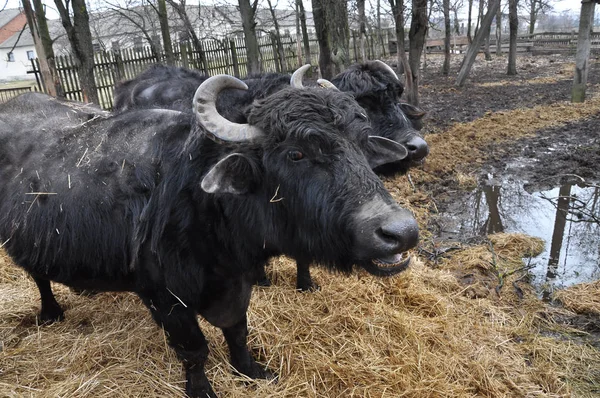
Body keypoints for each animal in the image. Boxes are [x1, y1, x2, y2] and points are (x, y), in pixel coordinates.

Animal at [0, 76, 420, 396]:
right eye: (296, 154)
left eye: (362, 142)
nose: (401, 232)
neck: (204, 206)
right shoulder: (166, 297)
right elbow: (194, 350)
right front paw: (201, 389)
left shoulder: (237, 282)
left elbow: (238, 331)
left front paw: (251, 370)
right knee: (37, 276)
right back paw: (50, 312)